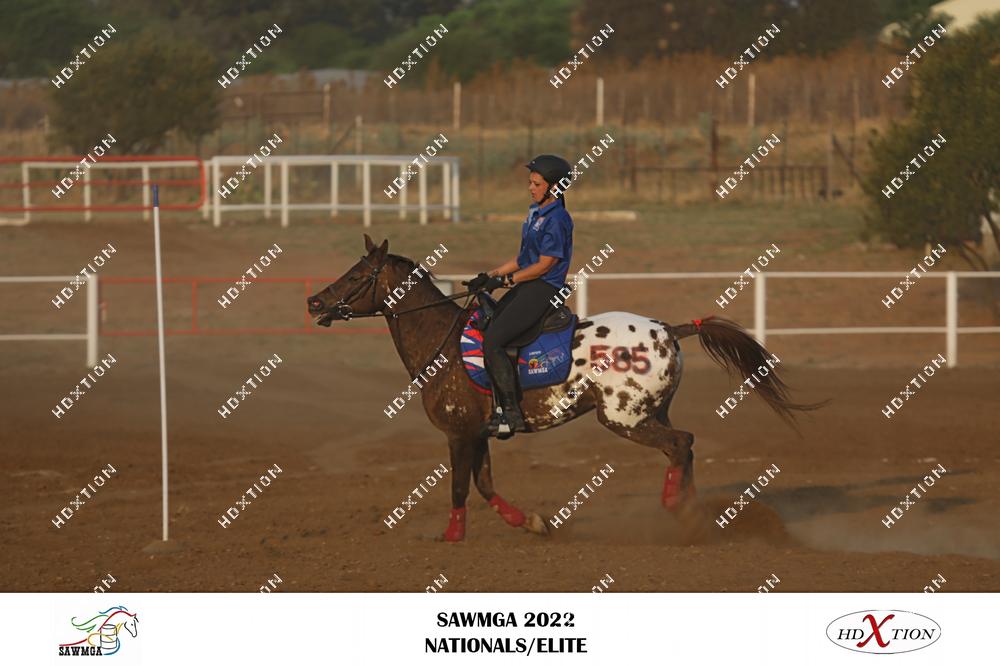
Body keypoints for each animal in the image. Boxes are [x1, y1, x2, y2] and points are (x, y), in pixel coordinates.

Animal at [307, 235, 823, 542]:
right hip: (650, 412)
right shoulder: (478, 433)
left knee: (681, 444)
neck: (446, 344)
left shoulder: (458, 434)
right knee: (685, 447)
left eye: (357, 276)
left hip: (623, 418)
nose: (314, 301)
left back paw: (677, 507)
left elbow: (459, 488)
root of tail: (669, 330)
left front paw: (452, 538)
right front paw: (530, 522)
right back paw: (691, 512)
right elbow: (485, 483)